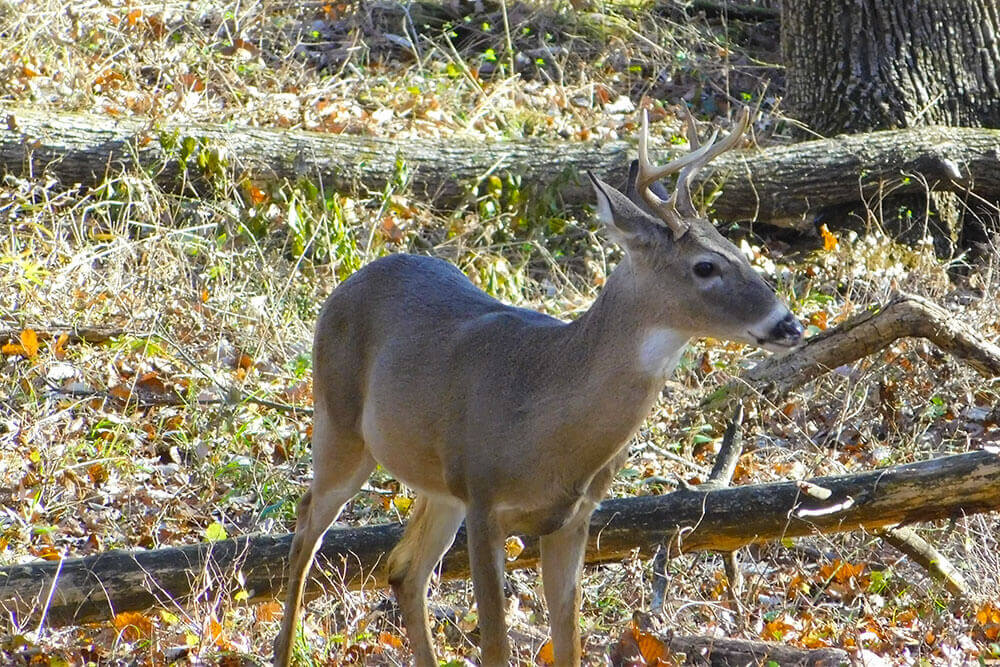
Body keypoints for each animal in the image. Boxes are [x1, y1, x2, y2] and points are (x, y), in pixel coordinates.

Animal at [274, 107, 804, 664]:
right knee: (306, 528)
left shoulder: (574, 517)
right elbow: (496, 647)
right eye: (705, 266)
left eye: (736, 248)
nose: (789, 324)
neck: (546, 421)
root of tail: (346, 285)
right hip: (340, 424)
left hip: (438, 483)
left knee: (402, 568)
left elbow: (569, 642)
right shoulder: (484, 502)